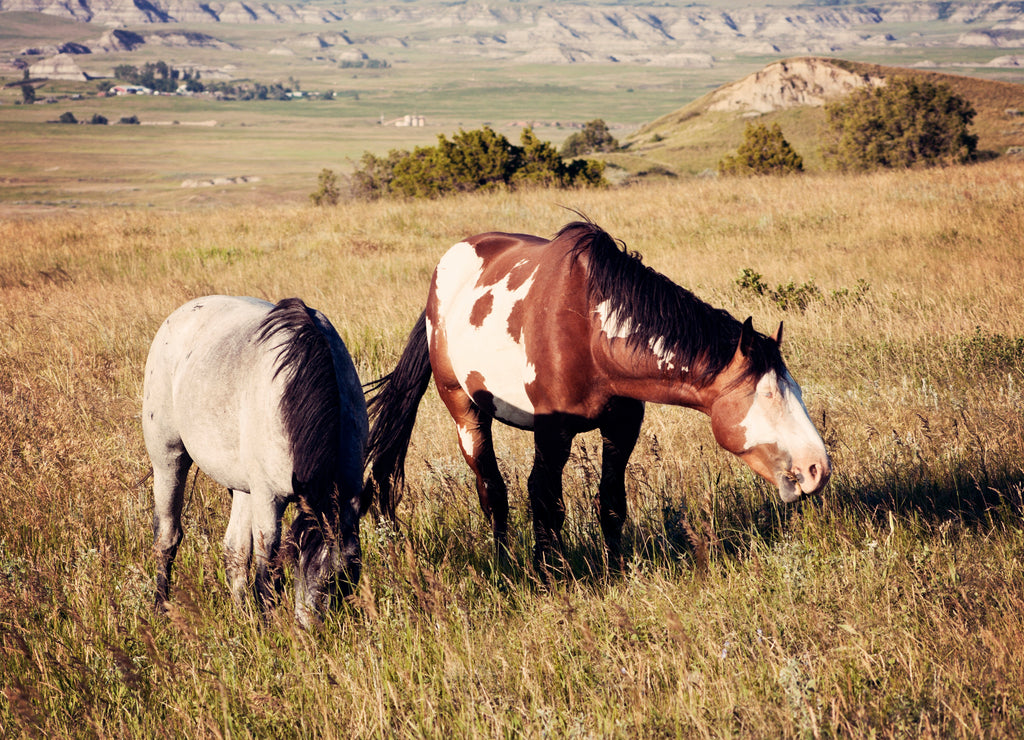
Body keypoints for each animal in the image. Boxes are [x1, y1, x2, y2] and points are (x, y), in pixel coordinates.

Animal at [143, 295, 368, 628]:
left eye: (345, 578)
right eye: (298, 561)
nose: (313, 629)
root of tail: (181, 313)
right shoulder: (268, 497)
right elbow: (267, 570)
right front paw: (267, 627)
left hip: (241, 486)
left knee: (234, 552)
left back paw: (240, 615)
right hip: (168, 459)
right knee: (167, 537)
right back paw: (161, 607)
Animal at [363, 220, 831, 574]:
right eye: (767, 394)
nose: (817, 469)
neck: (589, 331)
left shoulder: (622, 427)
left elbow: (611, 503)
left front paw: (616, 569)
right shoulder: (552, 432)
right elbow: (545, 502)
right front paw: (548, 574)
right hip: (464, 408)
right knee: (492, 492)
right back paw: (504, 563)